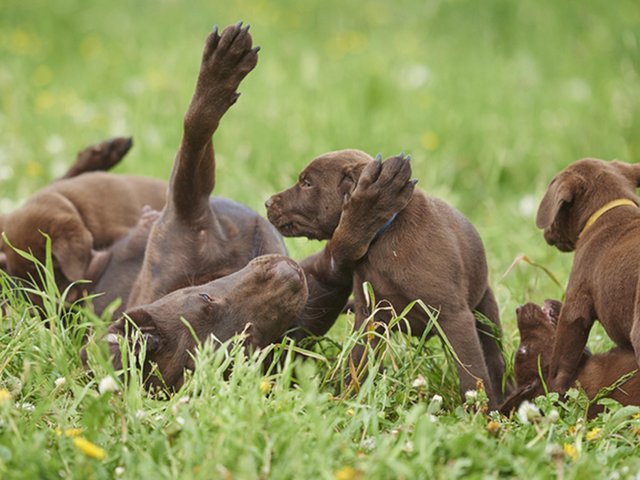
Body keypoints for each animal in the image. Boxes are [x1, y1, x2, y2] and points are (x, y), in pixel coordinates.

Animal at [264, 151, 510, 408]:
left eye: (307, 183)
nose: (267, 203)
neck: (382, 239)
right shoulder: (370, 314)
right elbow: (358, 361)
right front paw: (351, 400)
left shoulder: (454, 316)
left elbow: (472, 372)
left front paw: (481, 411)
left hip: (486, 311)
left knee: (494, 359)